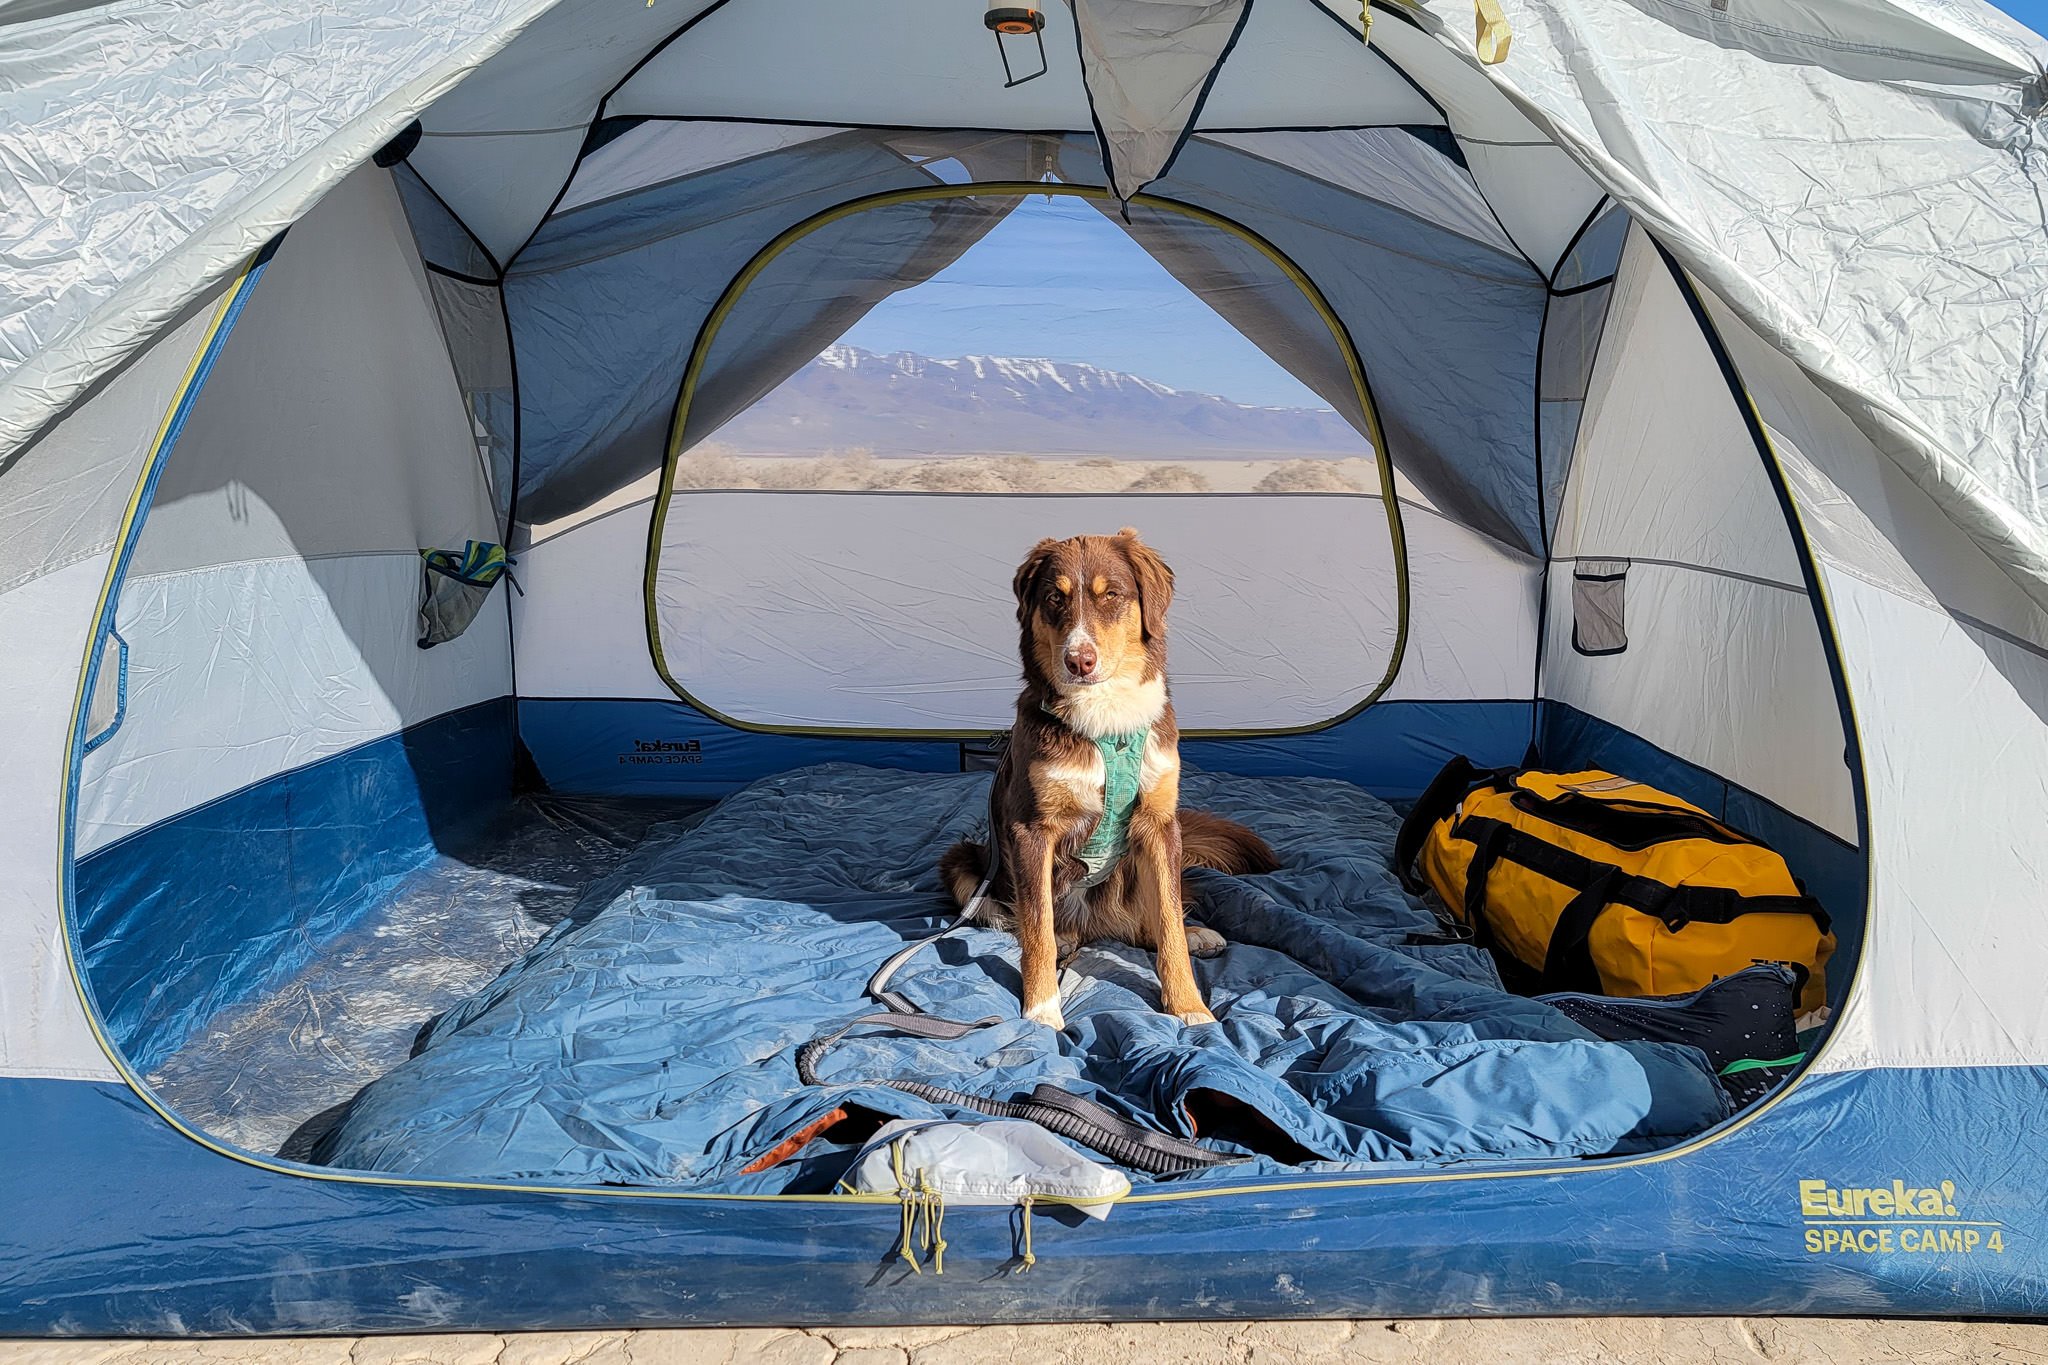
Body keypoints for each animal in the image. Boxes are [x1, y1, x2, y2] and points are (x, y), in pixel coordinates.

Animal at [942, 527, 1277, 1031]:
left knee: (1149, 924)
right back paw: (1062, 940)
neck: (1105, 719)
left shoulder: (1160, 825)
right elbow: (1036, 928)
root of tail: (1094, 929)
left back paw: (1196, 933)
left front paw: (1189, 1005)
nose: (1079, 661)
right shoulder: (1030, 831)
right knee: (1020, 918)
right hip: (965, 862)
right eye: (1054, 598)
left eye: (1112, 596)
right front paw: (1041, 1010)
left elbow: (1168, 924)